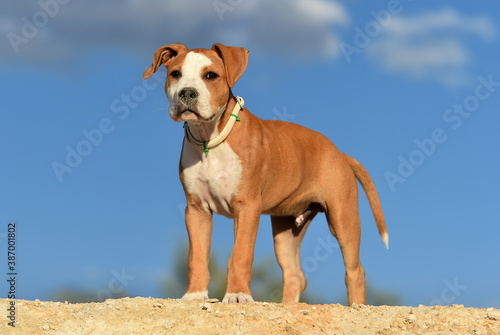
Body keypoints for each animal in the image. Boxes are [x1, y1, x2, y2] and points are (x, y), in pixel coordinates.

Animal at [143, 43, 388, 306]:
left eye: (211, 76)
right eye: (175, 74)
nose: (187, 93)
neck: (211, 139)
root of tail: (340, 153)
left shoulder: (247, 206)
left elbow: (240, 254)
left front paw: (237, 294)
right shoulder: (196, 209)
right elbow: (196, 257)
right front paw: (195, 294)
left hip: (343, 216)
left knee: (355, 270)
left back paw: (357, 306)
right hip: (286, 229)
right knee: (295, 275)